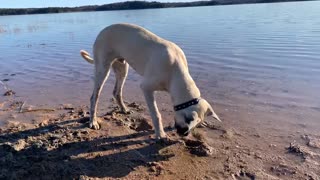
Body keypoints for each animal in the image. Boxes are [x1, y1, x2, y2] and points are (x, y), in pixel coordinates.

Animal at [80, 23, 220, 139]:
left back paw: (124, 109)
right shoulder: (146, 88)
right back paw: (93, 122)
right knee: (94, 97)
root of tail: (102, 31)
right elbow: (156, 114)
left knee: (117, 92)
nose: (184, 134)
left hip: (122, 68)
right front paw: (160, 135)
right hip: (103, 69)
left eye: (197, 124)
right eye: (188, 119)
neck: (175, 71)